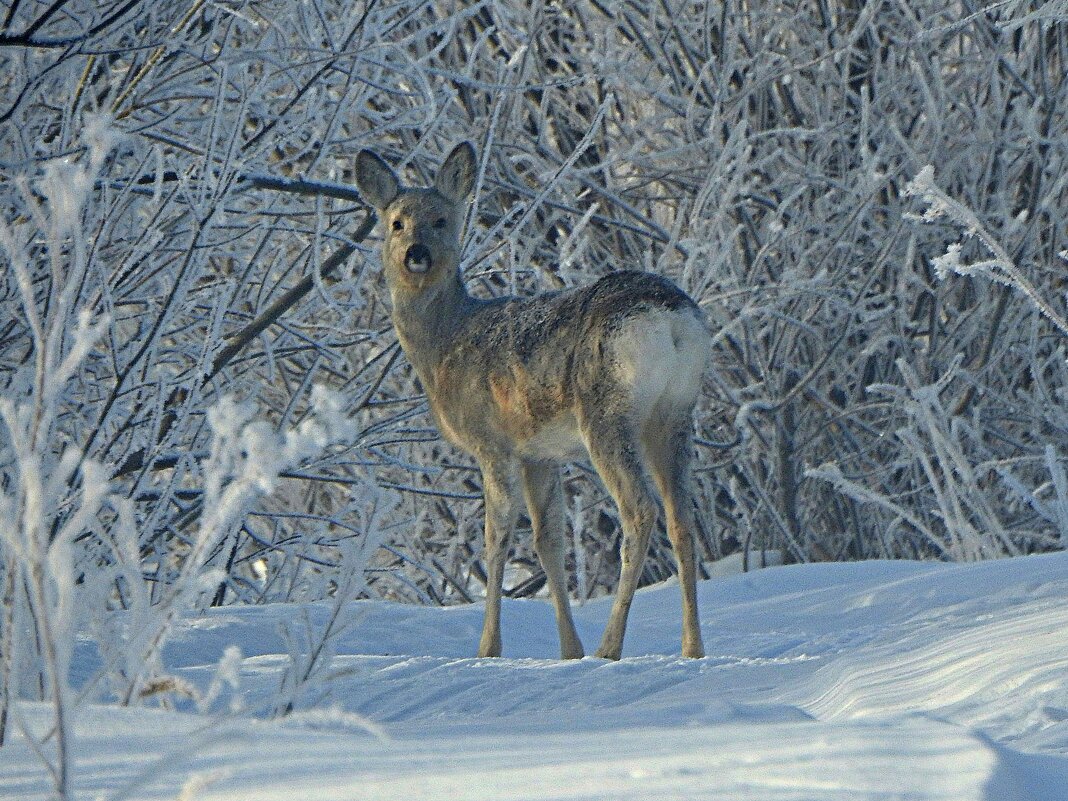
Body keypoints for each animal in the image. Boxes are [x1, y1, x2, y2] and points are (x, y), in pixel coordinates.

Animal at [356, 140, 709, 662]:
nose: (416, 253)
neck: (443, 346)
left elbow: (497, 539)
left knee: (639, 511)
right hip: (675, 412)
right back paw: (692, 647)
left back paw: (610, 646)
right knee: (681, 519)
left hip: (606, 412)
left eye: (442, 219)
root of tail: (671, 319)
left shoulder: (492, 442)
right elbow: (549, 542)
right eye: (396, 222)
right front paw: (568, 649)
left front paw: (488, 648)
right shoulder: (539, 453)